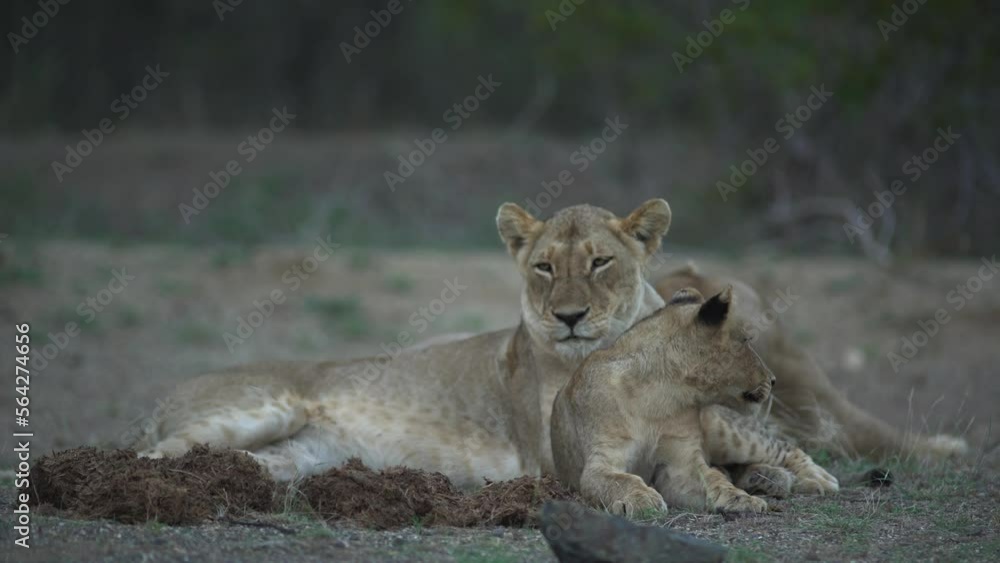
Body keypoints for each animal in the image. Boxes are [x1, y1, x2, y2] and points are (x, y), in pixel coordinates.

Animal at [133, 200, 675, 487]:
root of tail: (164, 398)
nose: (569, 317)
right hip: (263, 409)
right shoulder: (552, 456)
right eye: (544, 267)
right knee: (150, 455)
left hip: (292, 457)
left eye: (600, 262)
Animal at [551, 286, 839, 516]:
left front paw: (740, 499)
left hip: (727, 433)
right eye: (746, 339)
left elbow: (712, 478)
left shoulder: (682, 463)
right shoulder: (600, 461)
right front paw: (642, 499)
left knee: (784, 448)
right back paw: (772, 478)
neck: (659, 396)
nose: (774, 379)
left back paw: (816, 478)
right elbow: (622, 480)